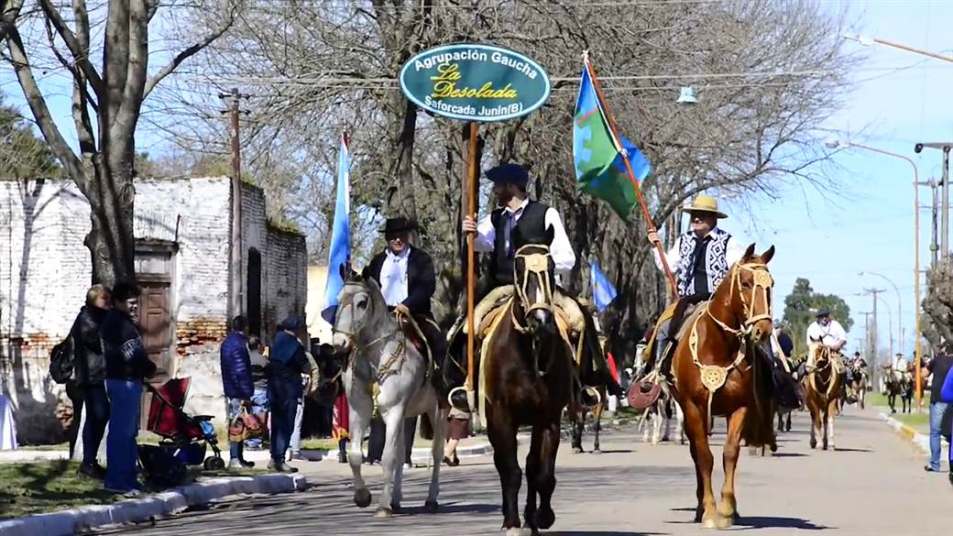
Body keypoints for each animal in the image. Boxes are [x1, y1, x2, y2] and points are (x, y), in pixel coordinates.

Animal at [330, 274, 446, 516]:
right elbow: (356, 456)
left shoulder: (393, 411)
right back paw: (397, 499)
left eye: (362, 303)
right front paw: (363, 496)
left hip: (437, 410)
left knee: (437, 452)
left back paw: (431, 498)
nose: (339, 345)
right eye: (338, 299)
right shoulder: (359, 411)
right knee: (402, 453)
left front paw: (383, 505)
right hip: (406, 416)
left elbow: (387, 457)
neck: (375, 358)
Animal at [484, 240, 572, 536]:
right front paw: (512, 523)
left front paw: (542, 517)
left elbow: (541, 473)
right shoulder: (501, 415)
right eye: (519, 269)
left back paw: (531, 519)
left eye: (552, 267)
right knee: (502, 462)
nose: (541, 321)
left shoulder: (548, 417)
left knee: (533, 465)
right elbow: (510, 469)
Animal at [668, 245, 772, 528]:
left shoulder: (740, 407)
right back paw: (700, 507)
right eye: (746, 283)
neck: (717, 346)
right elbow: (704, 457)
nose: (763, 330)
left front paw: (727, 509)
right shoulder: (693, 407)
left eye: (770, 285)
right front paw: (711, 511)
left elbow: (730, 453)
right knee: (696, 452)